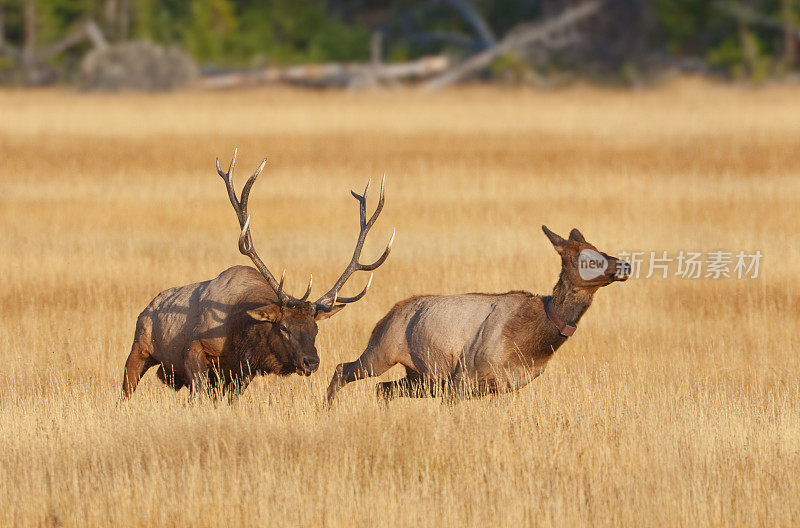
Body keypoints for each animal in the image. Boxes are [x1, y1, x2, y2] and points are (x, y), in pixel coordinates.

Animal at [121, 150, 394, 400]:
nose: (311, 362)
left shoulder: (240, 374)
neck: (238, 337)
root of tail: (148, 306)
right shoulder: (194, 351)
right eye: (283, 327)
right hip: (139, 348)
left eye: (315, 328)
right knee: (126, 387)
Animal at [324, 225, 632, 402]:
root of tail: (387, 316)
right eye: (587, 257)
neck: (533, 343)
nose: (625, 265)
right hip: (381, 352)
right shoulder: (462, 379)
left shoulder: (505, 386)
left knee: (383, 389)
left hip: (420, 378)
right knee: (342, 370)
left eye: (598, 247)